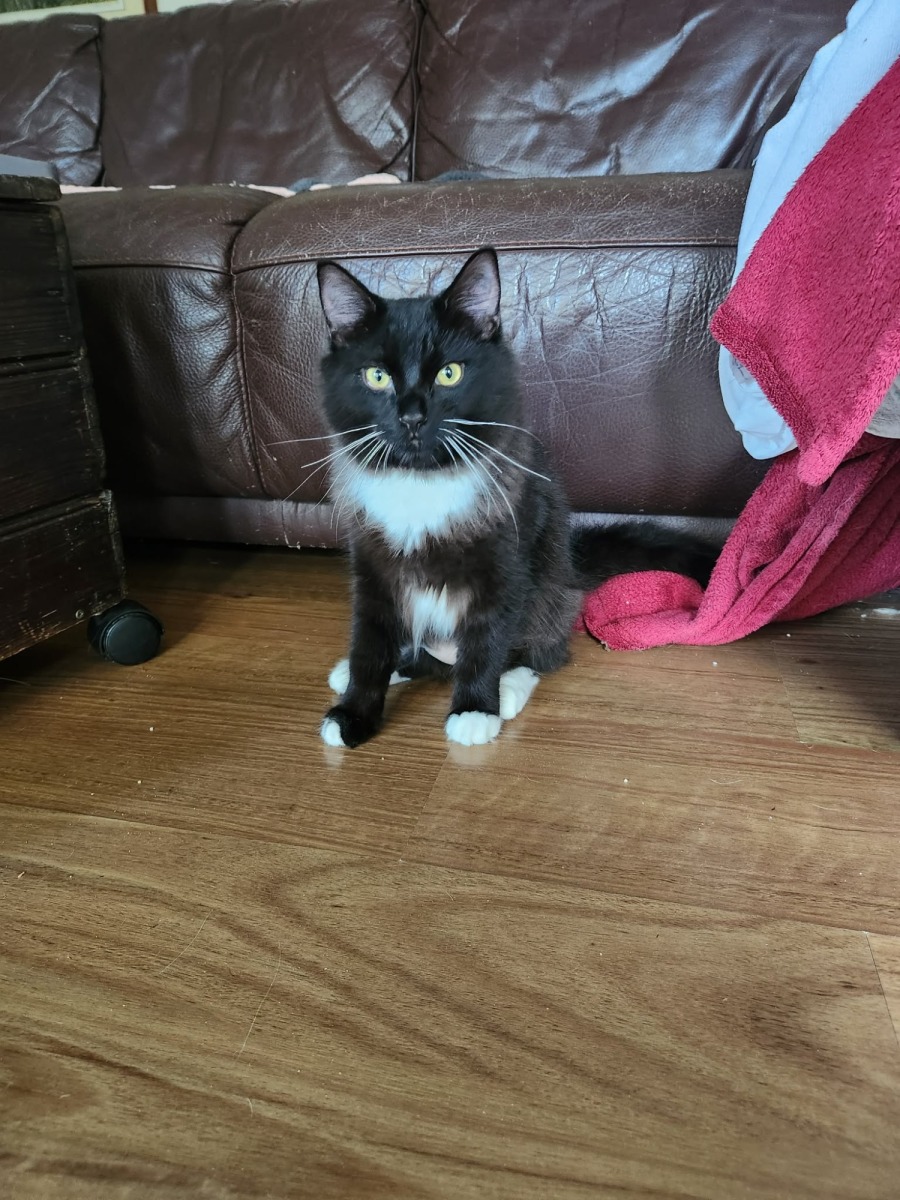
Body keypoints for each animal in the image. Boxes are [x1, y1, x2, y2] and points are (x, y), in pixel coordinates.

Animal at [314, 249, 715, 748]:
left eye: (449, 373)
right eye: (377, 376)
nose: (411, 417)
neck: (423, 483)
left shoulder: (506, 559)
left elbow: (487, 641)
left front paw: (474, 710)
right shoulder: (372, 565)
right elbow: (370, 644)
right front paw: (354, 711)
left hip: (548, 592)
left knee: (539, 652)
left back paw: (507, 691)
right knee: (421, 656)